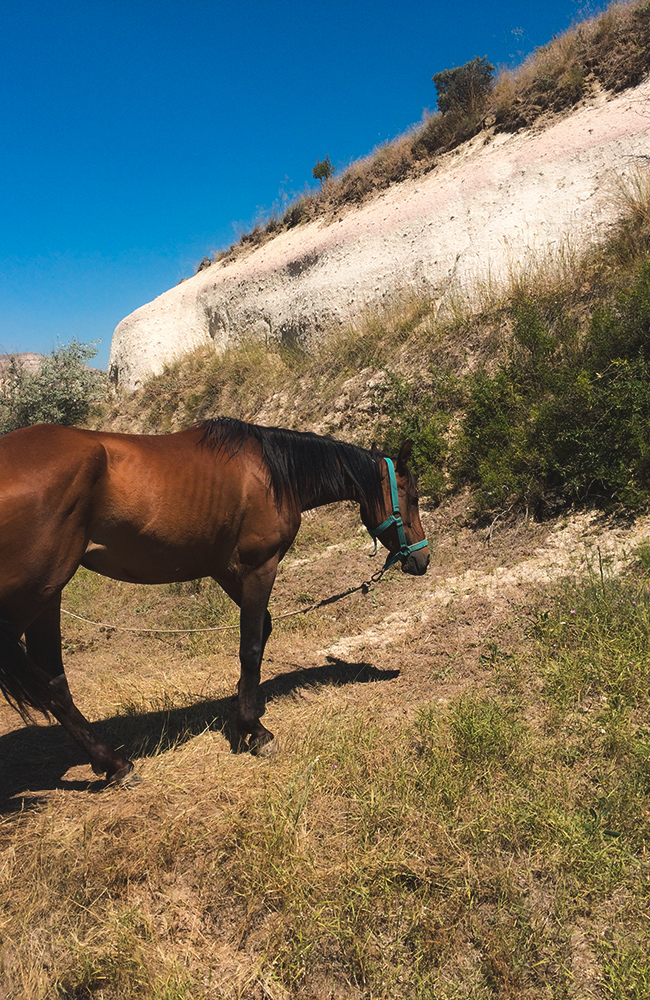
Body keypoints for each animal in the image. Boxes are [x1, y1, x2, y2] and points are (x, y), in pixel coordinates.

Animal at [0, 418, 426, 784]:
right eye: (412, 497)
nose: (422, 559)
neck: (271, 473)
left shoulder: (226, 570)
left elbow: (262, 631)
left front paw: (242, 710)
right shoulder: (260, 566)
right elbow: (251, 646)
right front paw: (255, 731)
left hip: (47, 596)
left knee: (53, 681)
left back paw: (113, 764)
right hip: (33, 595)